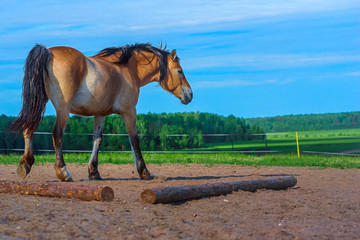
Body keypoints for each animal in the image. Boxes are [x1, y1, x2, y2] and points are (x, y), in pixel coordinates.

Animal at [11, 43, 193, 182]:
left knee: (28, 128)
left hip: (38, 102)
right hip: (63, 109)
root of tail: (48, 52)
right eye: (180, 71)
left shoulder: (100, 114)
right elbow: (134, 140)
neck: (127, 68)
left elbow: (97, 140)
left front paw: (94, 172)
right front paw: (144, 172)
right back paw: (63, 172)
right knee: (57, 134)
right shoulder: (129, 111)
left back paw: (25, 164)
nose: (190, 95)